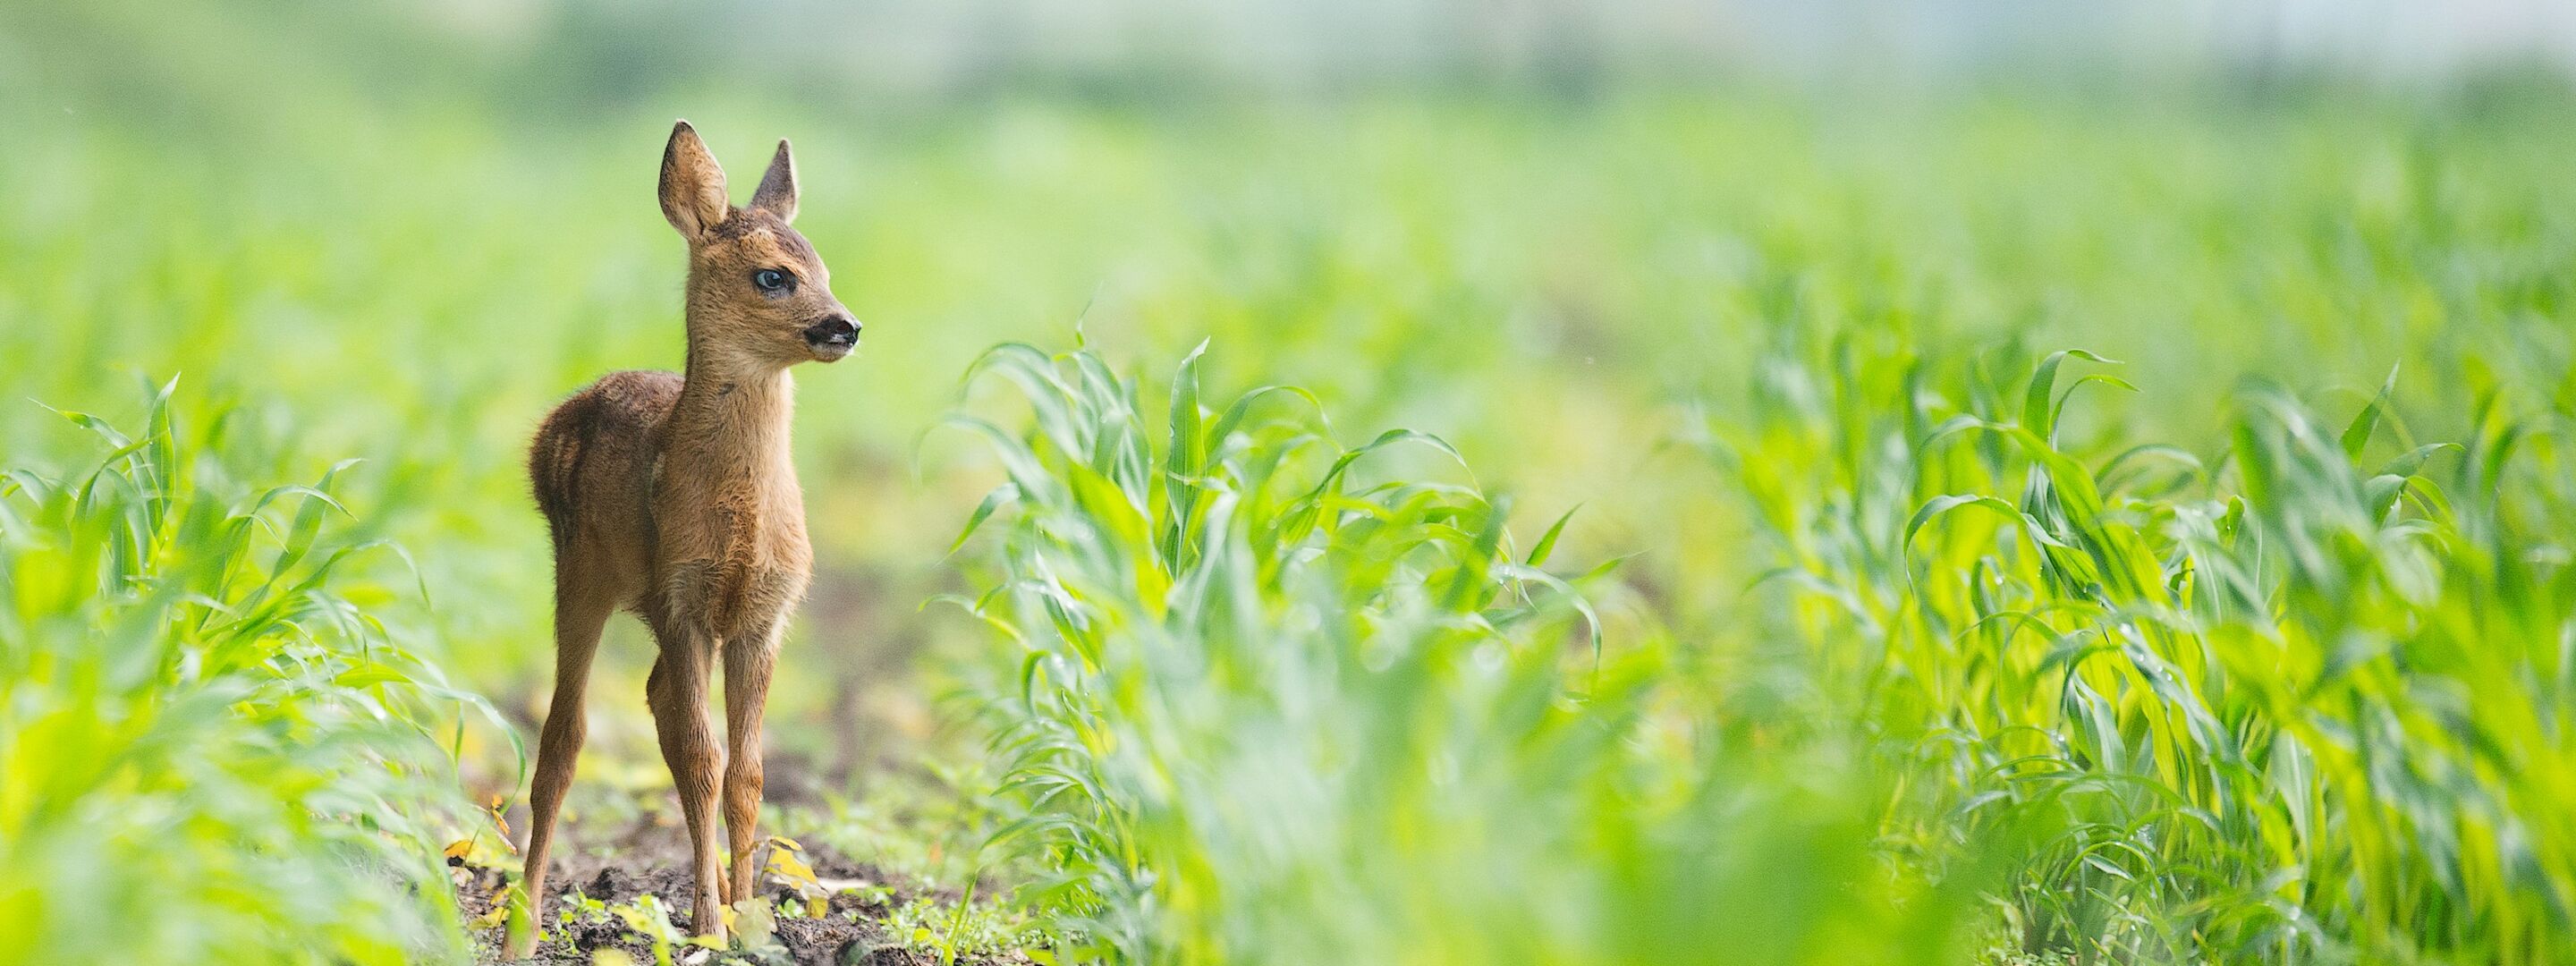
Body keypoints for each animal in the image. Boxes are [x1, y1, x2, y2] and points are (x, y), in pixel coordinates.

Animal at [505, 120, 860, 957]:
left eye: (824, 268)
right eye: (772, 277)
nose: (845, 326)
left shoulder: (765, 616)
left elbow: (748, 771)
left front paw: (751, 918)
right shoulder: (682, 598)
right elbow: (704, 758)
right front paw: (708, 926)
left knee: (657, 702)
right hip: (581, 573)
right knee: (564, 739)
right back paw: (521, 928)